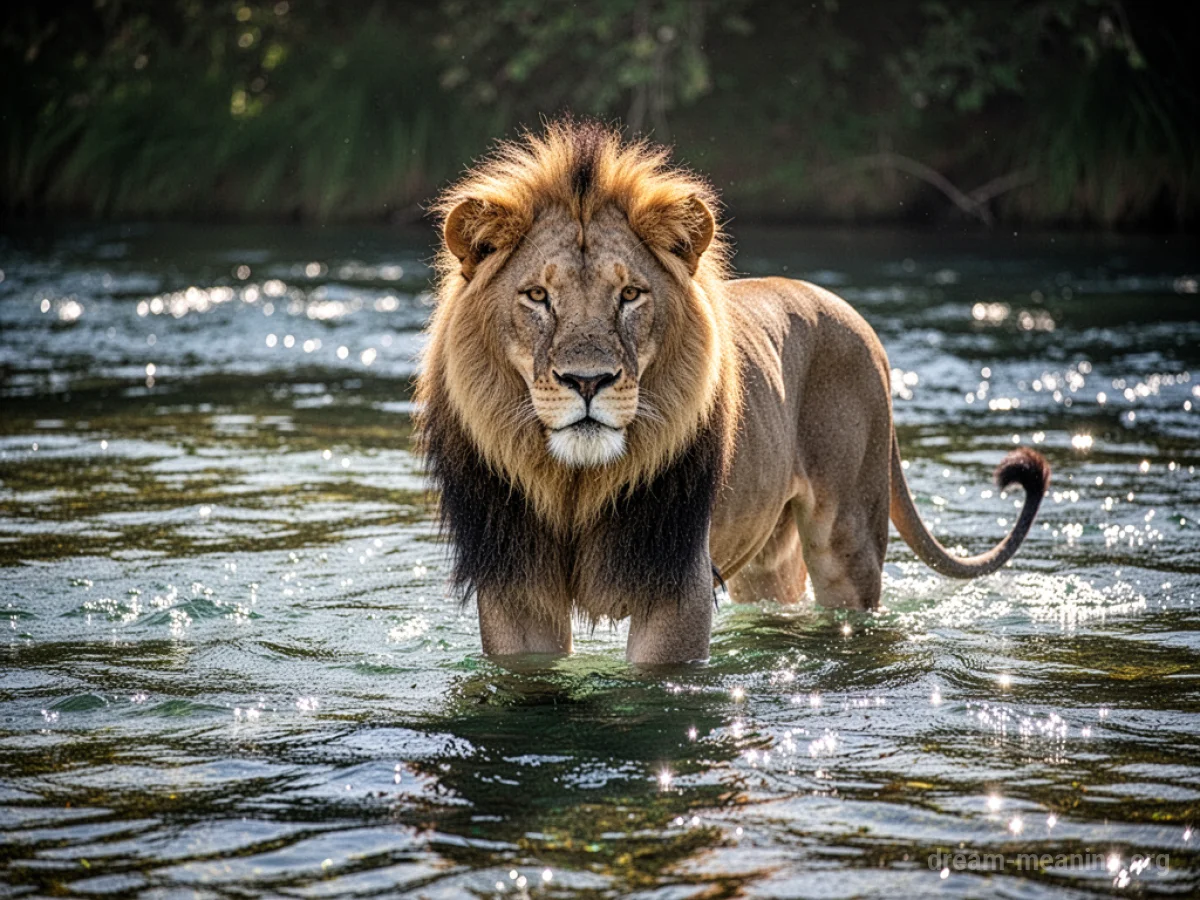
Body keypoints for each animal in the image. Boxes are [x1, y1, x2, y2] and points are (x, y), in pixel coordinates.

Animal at [416, 121, 1049, 665]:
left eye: (630, 294)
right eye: (537, 296)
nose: (588, 381)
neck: (575, 485)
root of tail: (858, 321)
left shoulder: (677, 583)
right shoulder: (514, 586)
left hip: (847, 539)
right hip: (766, 556)